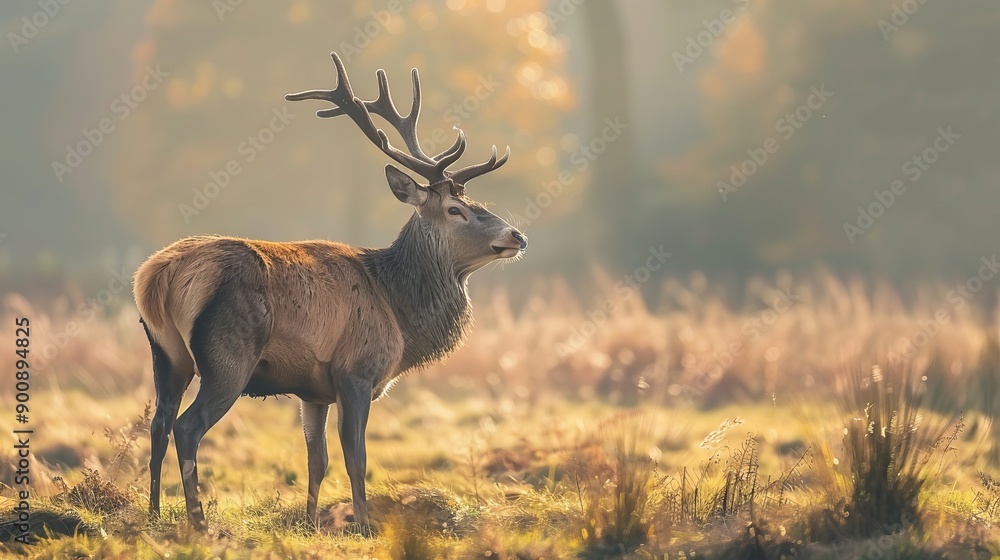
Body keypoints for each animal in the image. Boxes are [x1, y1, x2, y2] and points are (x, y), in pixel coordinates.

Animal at [132, 52, 526, 534]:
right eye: (456, 209)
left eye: (477, 203)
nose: (516, 235)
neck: (398, 310)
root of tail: (158, 275)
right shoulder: (355, 371)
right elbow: (356, 457)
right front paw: (364, 526)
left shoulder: (312, 390)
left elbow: (315, 459)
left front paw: (308, 521)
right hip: (228, 354)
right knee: (188, 427)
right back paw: (199, 522)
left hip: (165, 353)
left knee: (158, 423)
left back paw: (152, 514)